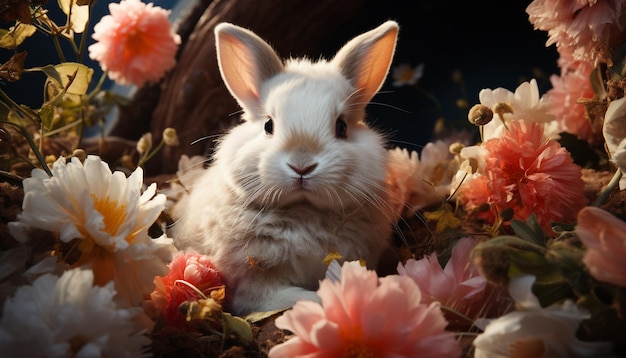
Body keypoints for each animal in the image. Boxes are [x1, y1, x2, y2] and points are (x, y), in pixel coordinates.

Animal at [171, 20, 398, 316]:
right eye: (269, 125)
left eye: (342, 127)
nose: (302, 165)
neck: (303, 211)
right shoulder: (253, 287)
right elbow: (287, 298)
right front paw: (317, 301)